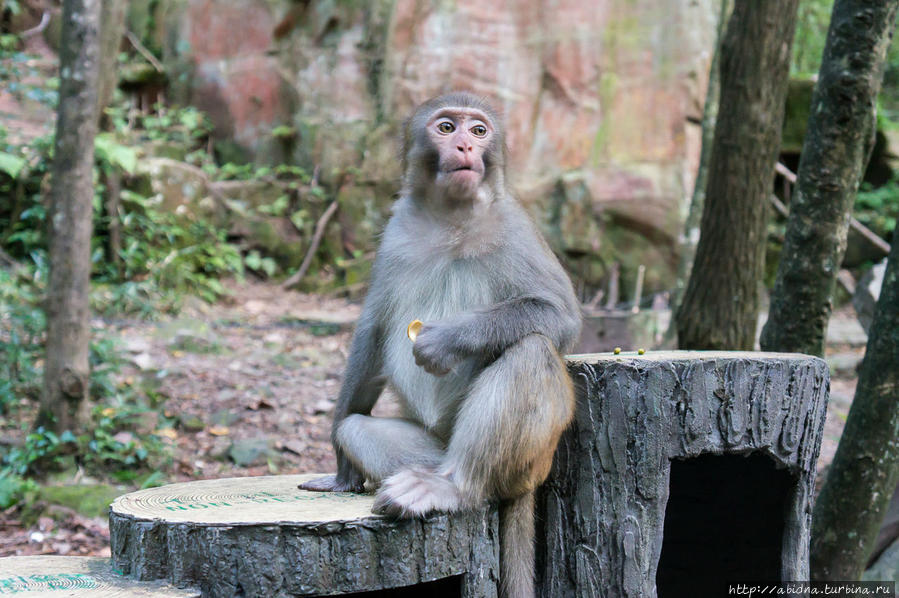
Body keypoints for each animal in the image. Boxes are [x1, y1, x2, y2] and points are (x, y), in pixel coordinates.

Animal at [302, 90, 584, 598]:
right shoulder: (396, 230)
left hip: (526, 462)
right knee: (355, 427)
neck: (452, 215)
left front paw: (448, 339)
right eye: (447, 127)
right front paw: (341, 473)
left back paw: (455, 486)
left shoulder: (515, 225)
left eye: (479, 130)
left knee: (530, 350)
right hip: (431, 445)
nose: (467, 148)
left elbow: (559, 315)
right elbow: (373, 331)